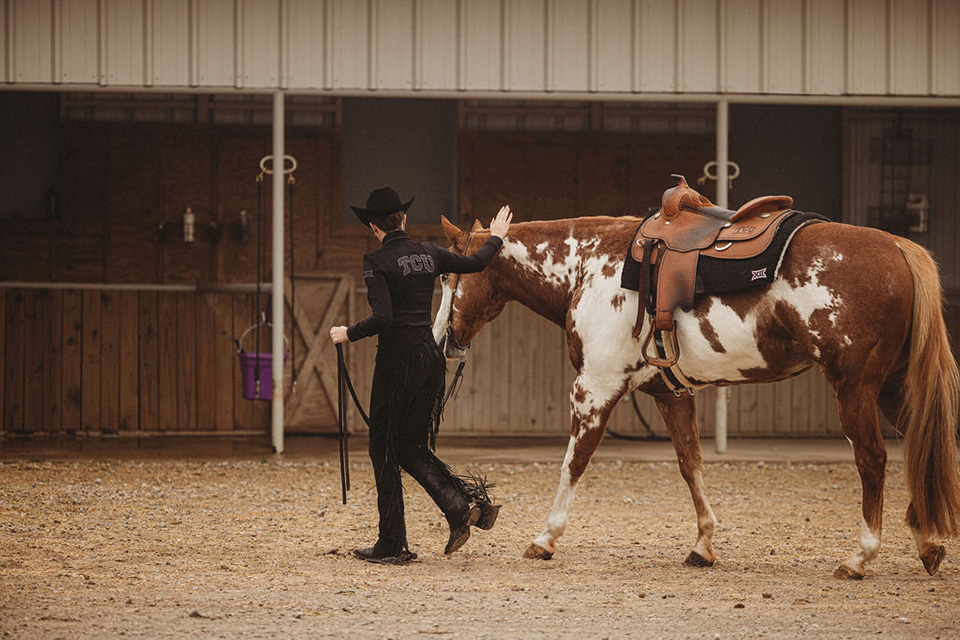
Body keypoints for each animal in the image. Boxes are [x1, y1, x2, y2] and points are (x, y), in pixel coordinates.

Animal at [432, 205, 960, 580]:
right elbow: (692, 466)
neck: (588, 265)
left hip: (855, 388)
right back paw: (928, 543)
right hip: (892, 388)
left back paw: (860, 558)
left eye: (446, 275)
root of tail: (897, 246)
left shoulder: (594, 389)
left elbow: (573, 464)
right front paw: (703, 545)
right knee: (922, 450)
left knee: (873, 459)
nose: (440, 339)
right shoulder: (672, 396)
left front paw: (546, 538)